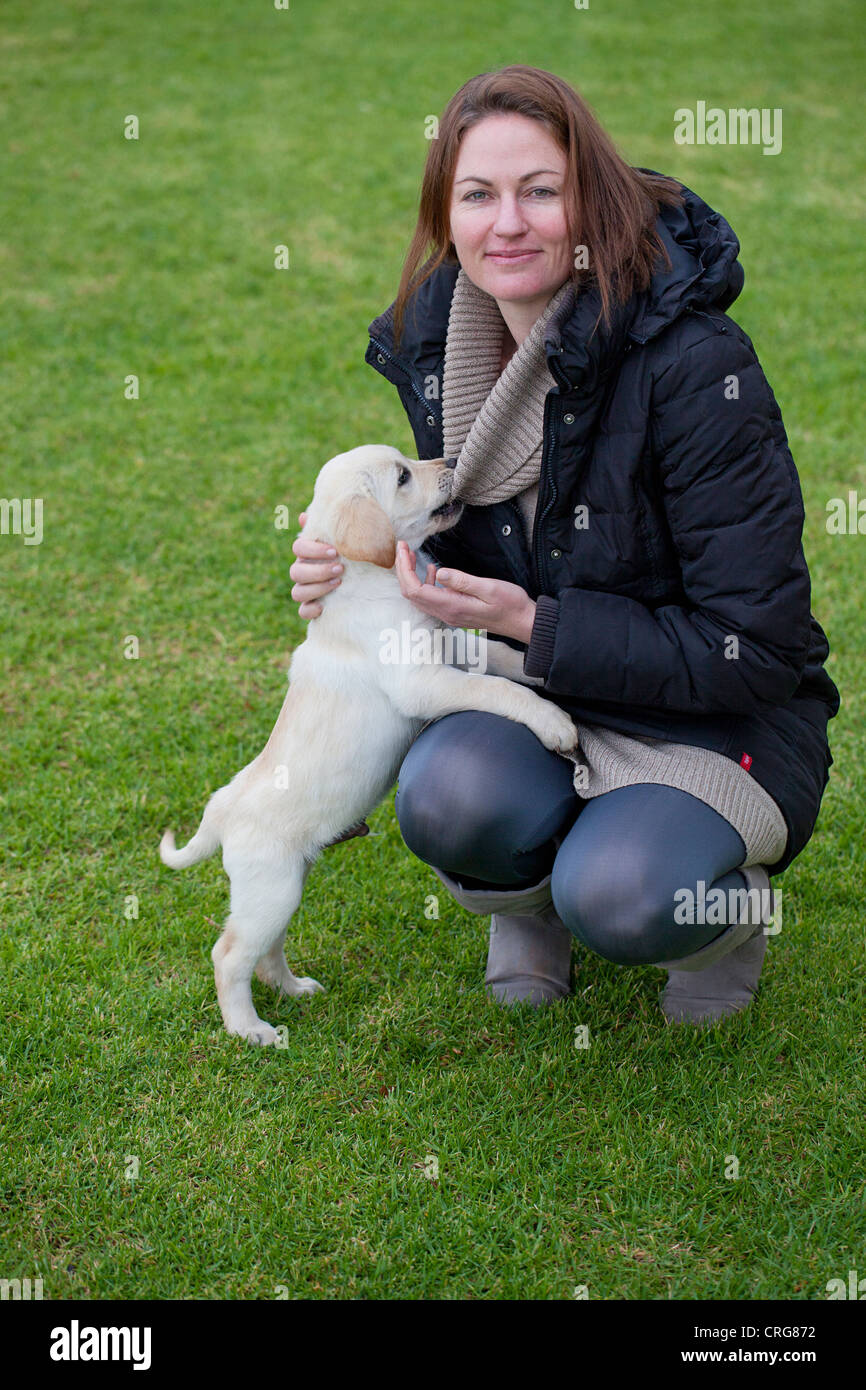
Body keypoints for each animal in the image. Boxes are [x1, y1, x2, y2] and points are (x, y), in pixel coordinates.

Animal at [159, 444, 578, 1045]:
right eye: (403, 476)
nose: (450, 460)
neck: (370, 578)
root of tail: (222, 806)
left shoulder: (450, 644)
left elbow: (499, 657)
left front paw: (543, 659)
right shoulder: (422, 680)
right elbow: (495, 688)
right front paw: (553, 721)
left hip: (284, 888)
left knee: (265, 951)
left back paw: (294, 989)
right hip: (270, 887)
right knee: (229, 955)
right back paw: (251, 1030)